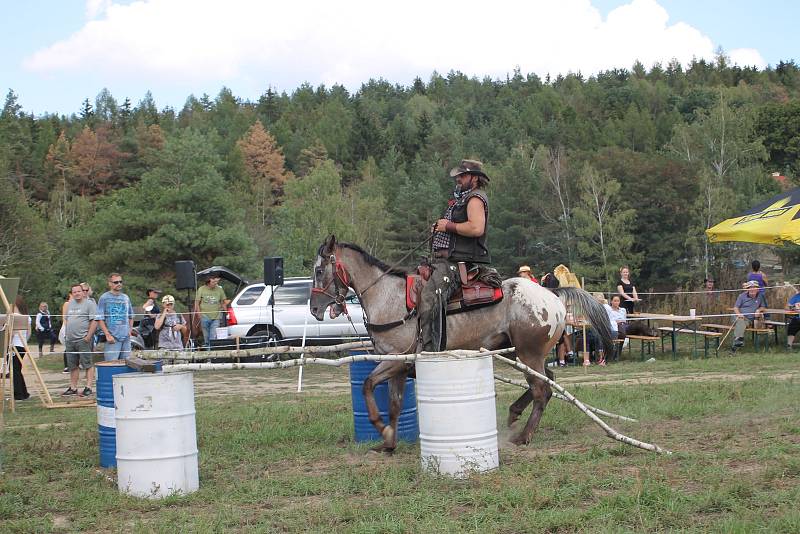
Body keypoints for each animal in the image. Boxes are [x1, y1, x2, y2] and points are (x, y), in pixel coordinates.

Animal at [308, 237, 612, 454]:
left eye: (319, 270)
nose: (314, 308)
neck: (388, 298)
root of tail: (551, 294)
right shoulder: (398, 366)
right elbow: (394, 404)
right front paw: (389, 442)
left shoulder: (397, 360)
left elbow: (368, 385)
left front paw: (381, 428)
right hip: (522, 353)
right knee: (548, 378)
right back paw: (514, 414)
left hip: (529, 353)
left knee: (542, 390)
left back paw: (523, 436)